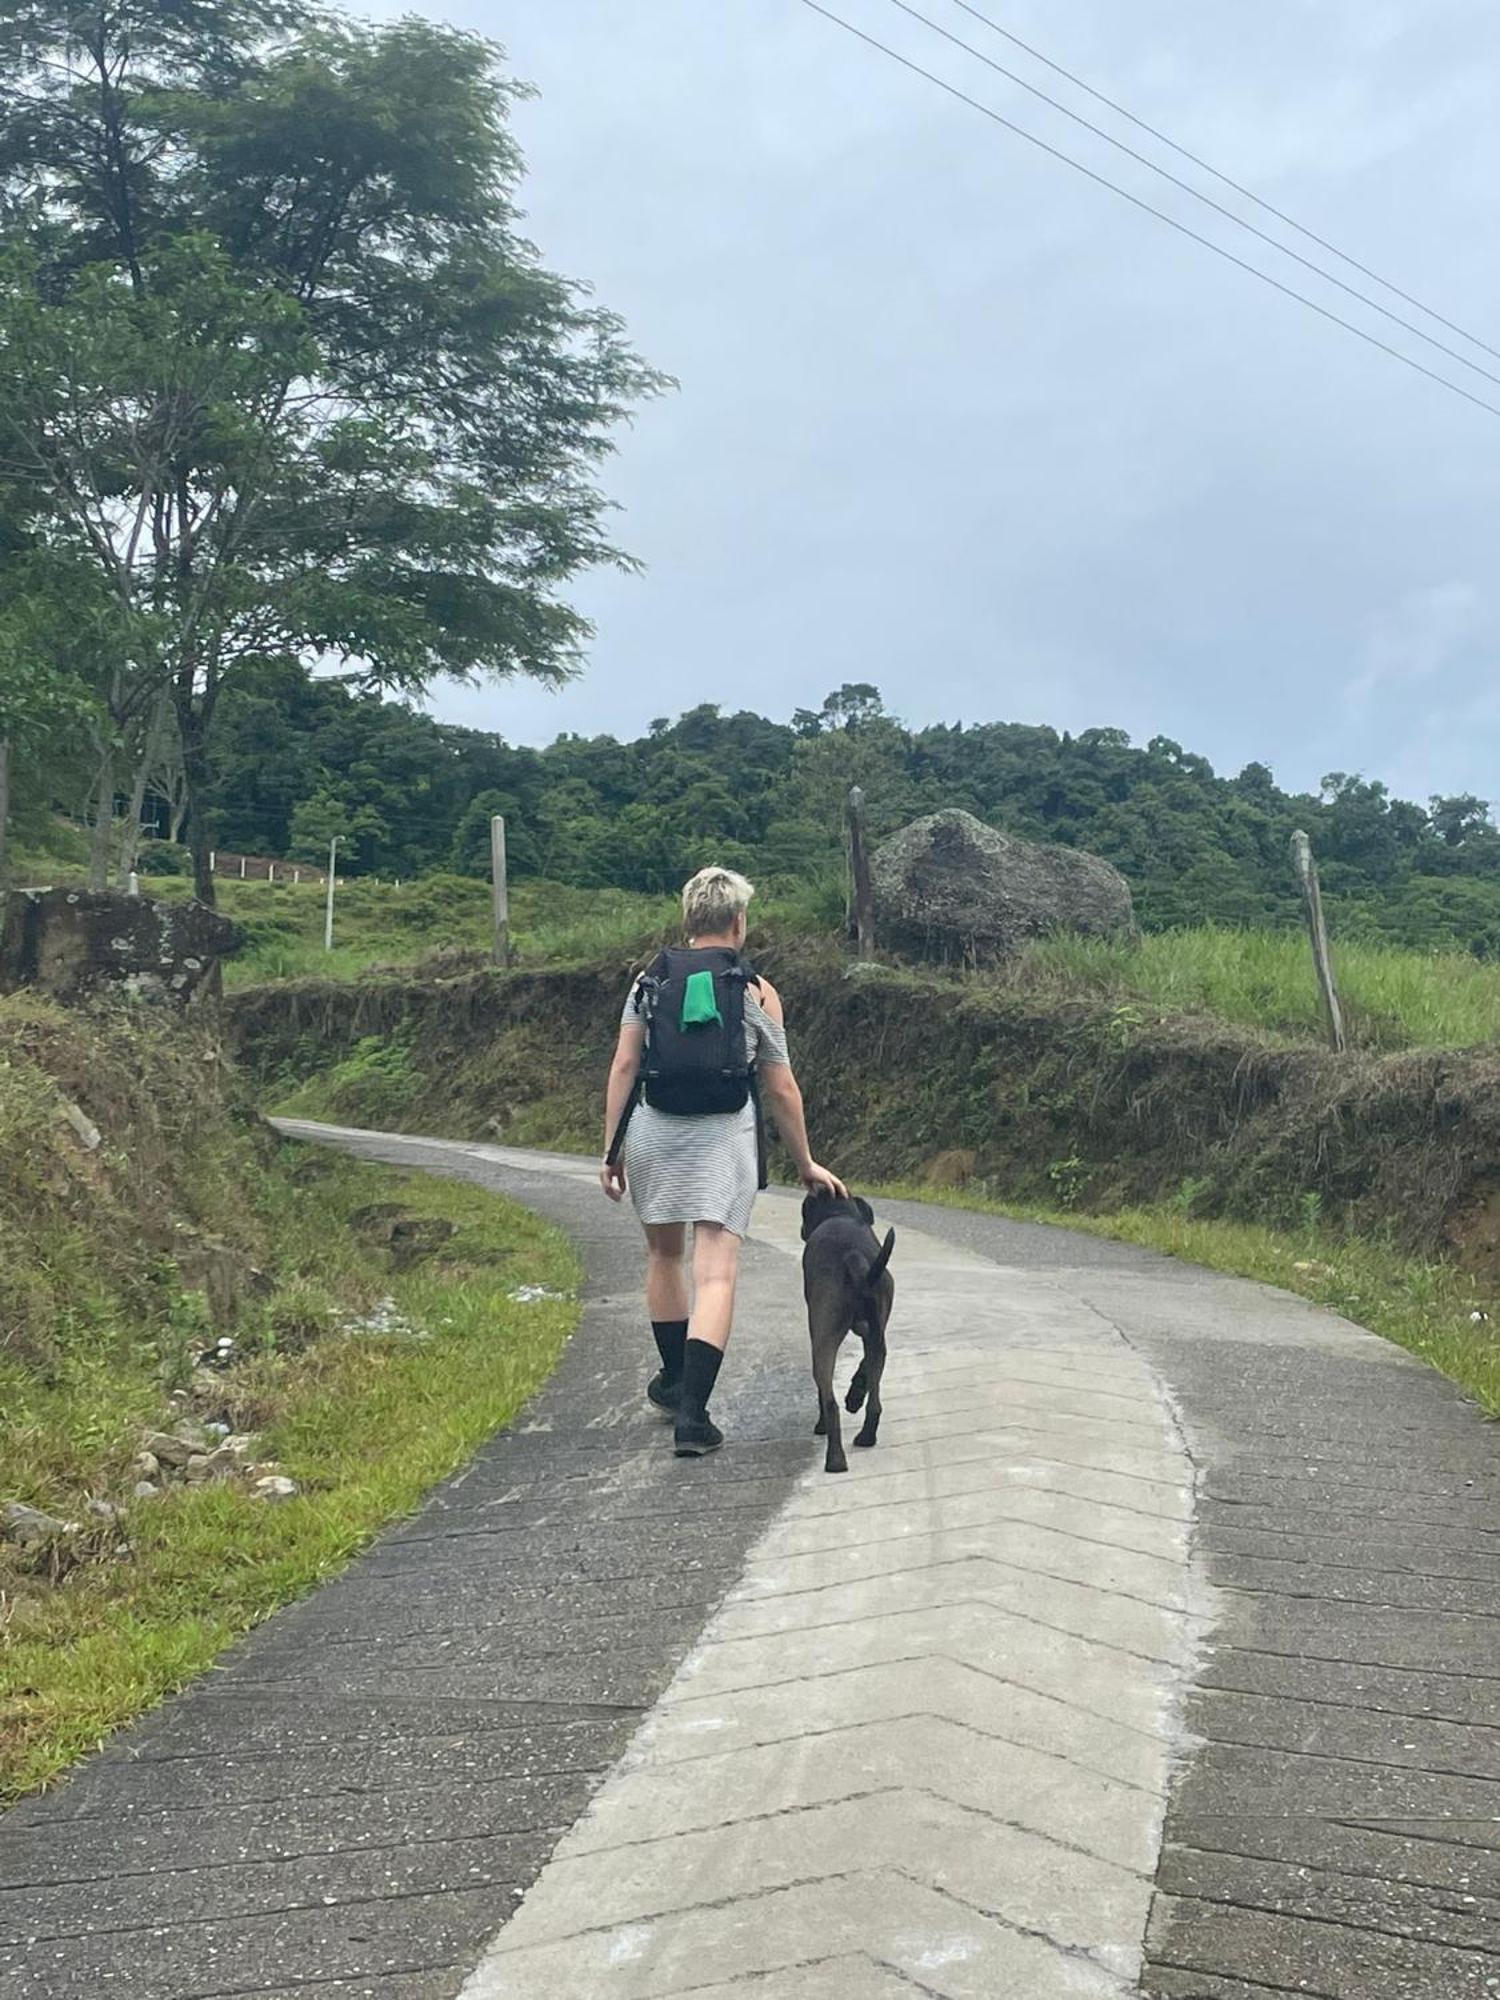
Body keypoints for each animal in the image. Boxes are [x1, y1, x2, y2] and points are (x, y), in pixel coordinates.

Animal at [804, 1192, 900, 1480]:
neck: (841, 1213)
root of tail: (852, 1256)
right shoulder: (877, 1330)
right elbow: (864, 1368)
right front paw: (856, 1394)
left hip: (823, 1337)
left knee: (829, 1400)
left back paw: (834, 1457)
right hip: (877, 1337)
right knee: (875, 1400)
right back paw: (866, 1435)